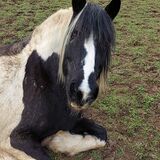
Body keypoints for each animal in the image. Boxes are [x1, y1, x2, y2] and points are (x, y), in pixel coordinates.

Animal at [0, 0, 120, 159]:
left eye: (106, 42)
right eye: (74, 34)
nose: (83, 92)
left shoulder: (74, 121)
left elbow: (102, 135)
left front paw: (57, 140)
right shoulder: (15, 139)